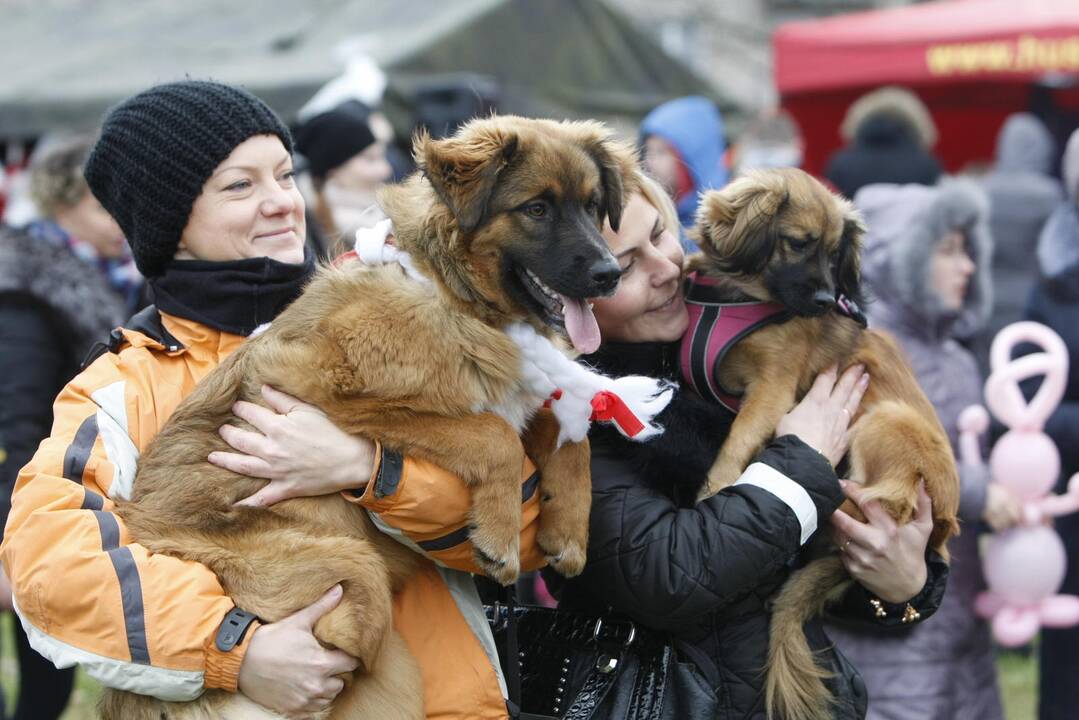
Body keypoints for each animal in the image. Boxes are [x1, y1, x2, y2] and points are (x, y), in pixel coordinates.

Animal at [101, 115, 638, 716]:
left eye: (593, 207)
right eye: (537, 208)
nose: (610, 274)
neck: (451, 291)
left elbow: (569, 436)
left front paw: (567, 528)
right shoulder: (324, 391)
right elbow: (492, 433)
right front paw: (499, 536)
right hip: (350, 576)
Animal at [686, 167, 958, 720]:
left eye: (835, 255)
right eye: (798, 244)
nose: (825, 302)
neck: (742, 296)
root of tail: (941, 527)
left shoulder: (771, 390)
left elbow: (737, 443)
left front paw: (714, 488)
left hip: (885, 422)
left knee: (883, 502)